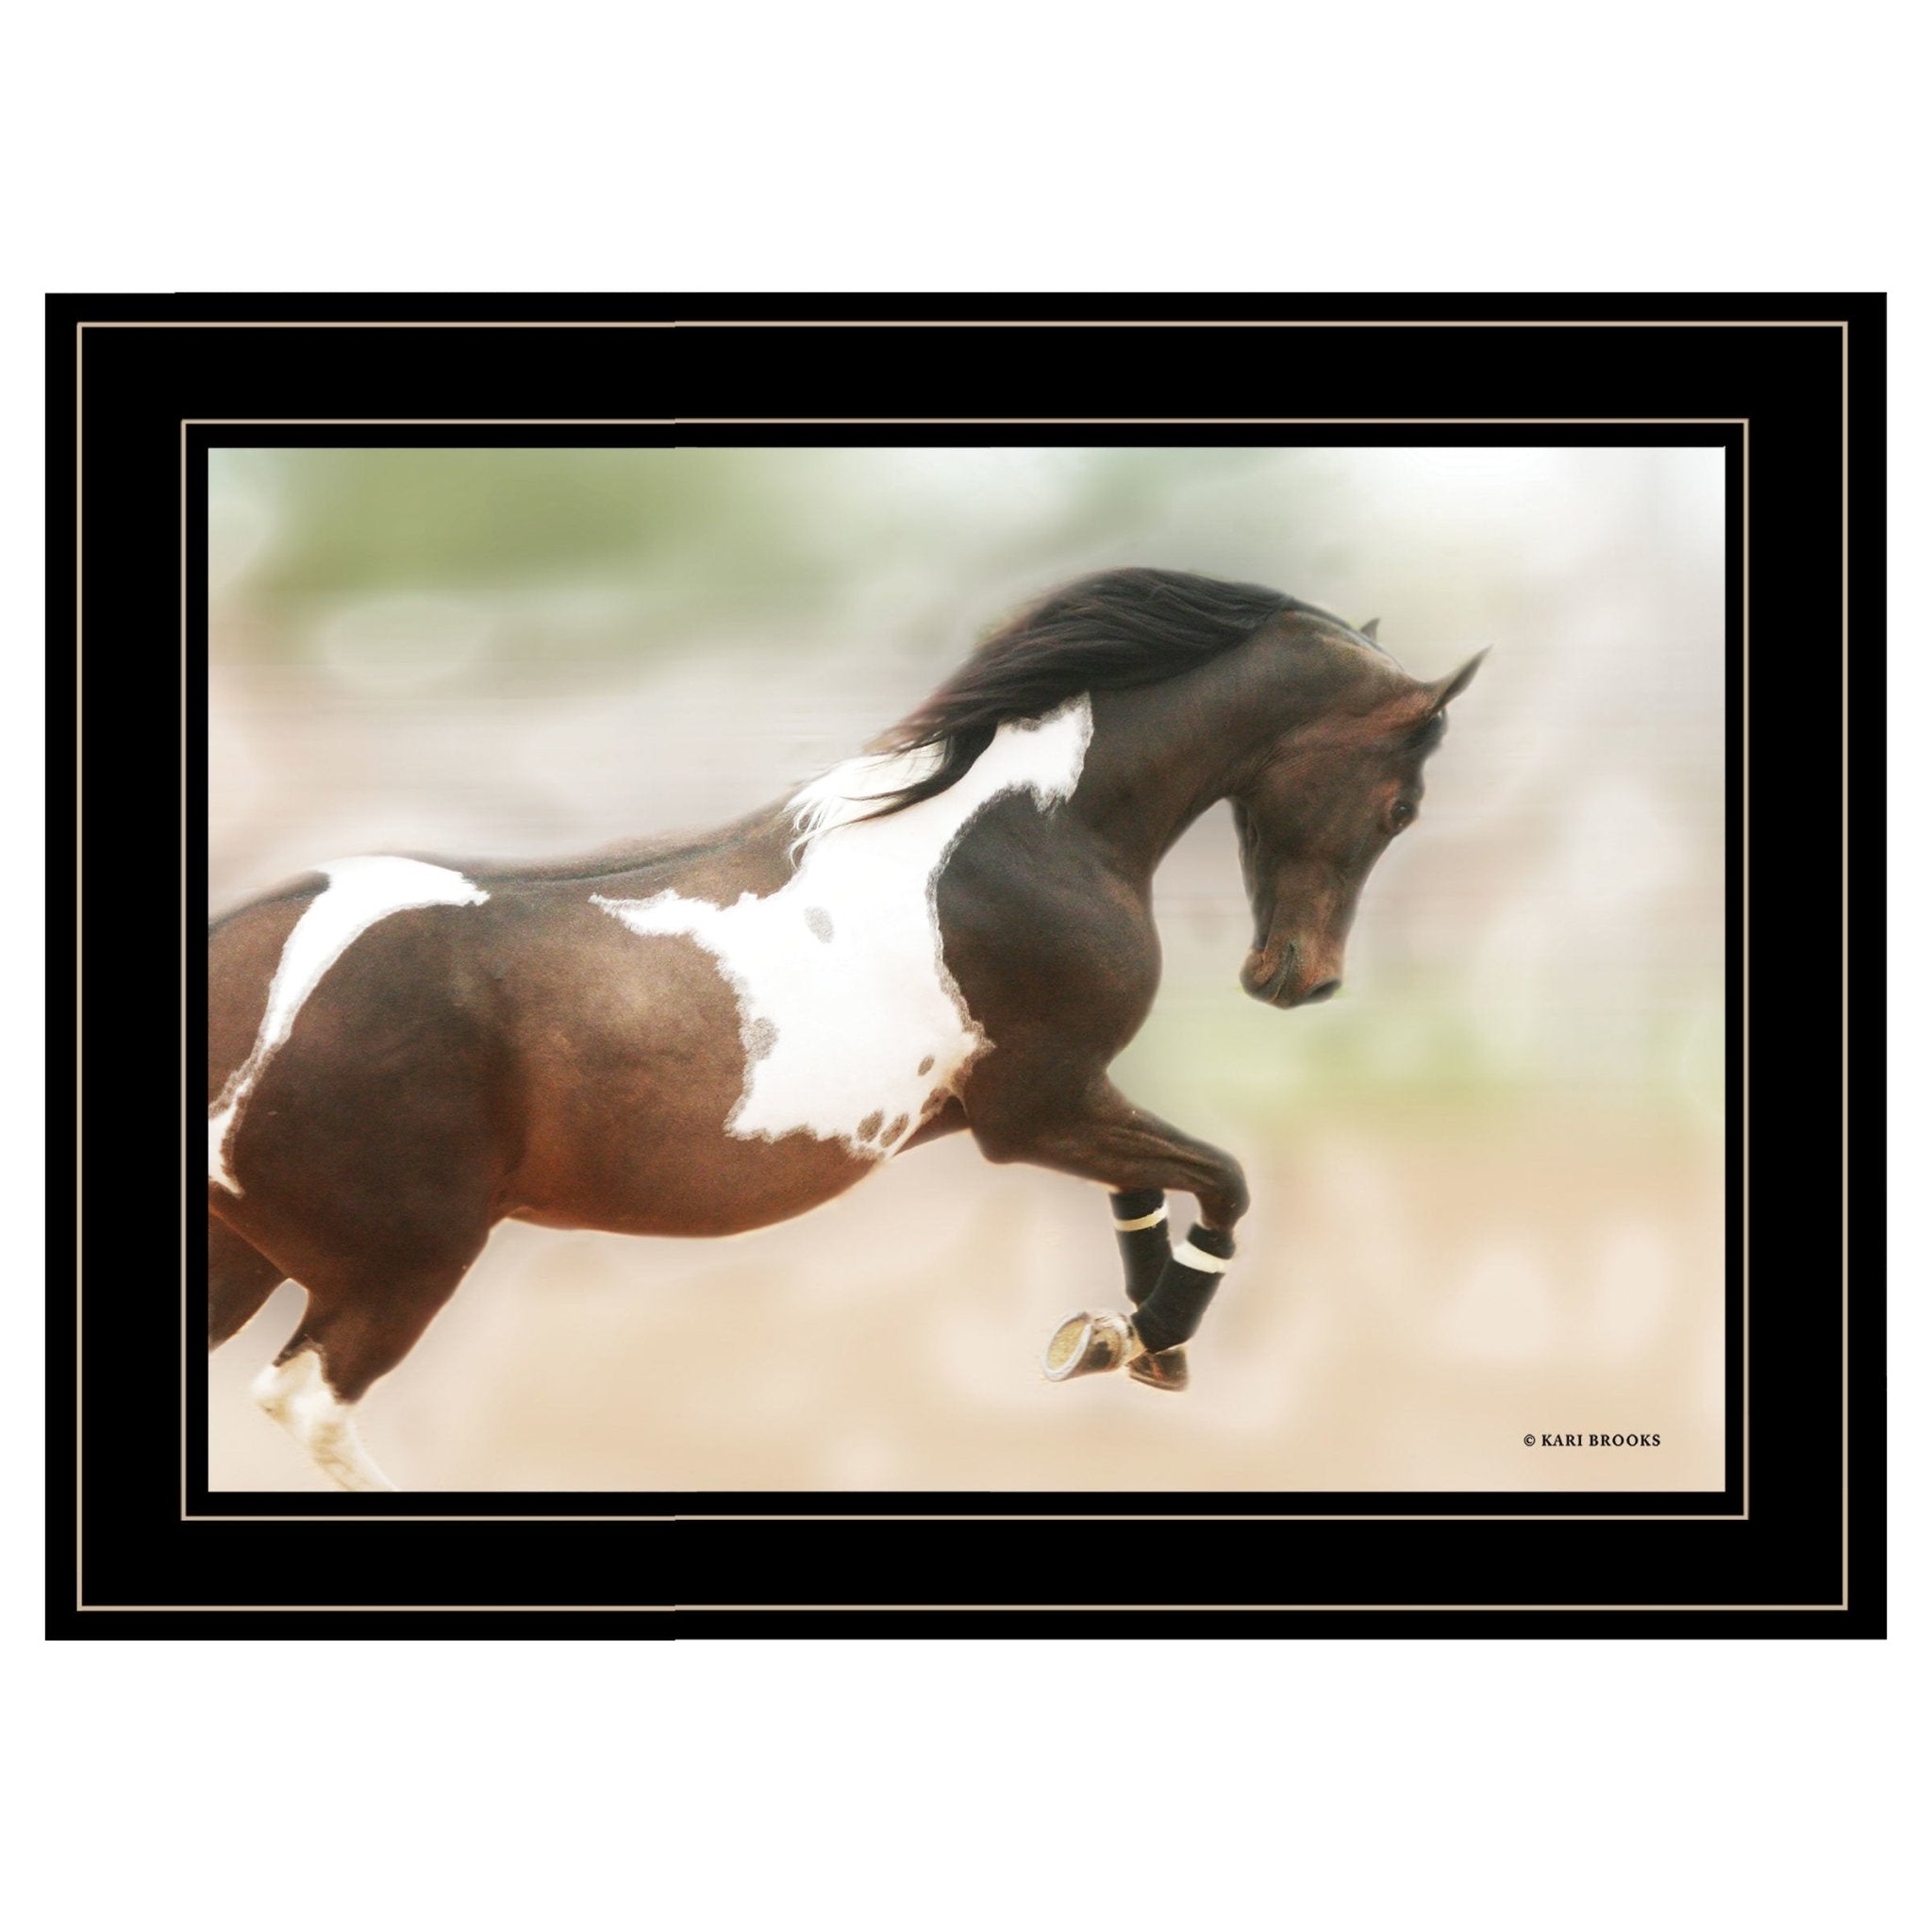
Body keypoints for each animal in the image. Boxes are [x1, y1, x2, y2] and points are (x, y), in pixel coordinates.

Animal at [207, 567, 1481, 1490]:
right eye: (1400, 804)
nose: (1298, 981)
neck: (1024, 832)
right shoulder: (1035, 1108)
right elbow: (1222, 1180)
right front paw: (1151, 1333)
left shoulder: (1061, 1101)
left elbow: (1152, 1187)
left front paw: (1125, 1338)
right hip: (403, 1259)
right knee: (309, 1404)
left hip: (240, 1257)